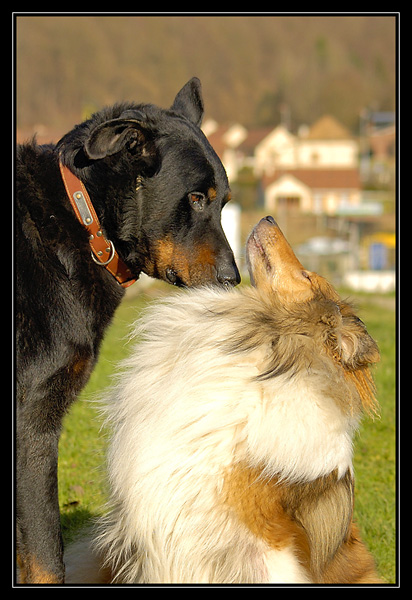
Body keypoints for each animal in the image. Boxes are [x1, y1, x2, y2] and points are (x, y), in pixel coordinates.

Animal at [16, 77, 240, 584]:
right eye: (196, 197)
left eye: (224, 202)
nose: (234, 279)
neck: (82, 220)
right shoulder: (32, 420)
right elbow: (44, 555)